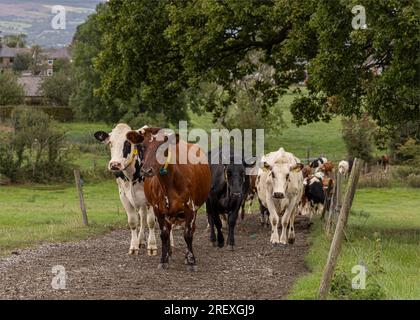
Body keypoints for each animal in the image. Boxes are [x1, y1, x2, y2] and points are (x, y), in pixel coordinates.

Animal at [93, 124, 158, 256]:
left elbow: (151, 221)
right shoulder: (124, 196)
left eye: (127, 143)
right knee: (142, 217)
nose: (115, 164)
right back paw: (140, 240)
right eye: (110, 143)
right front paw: (134, 247)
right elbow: (133, 222)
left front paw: (152, 246)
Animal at [124, 126, 210, 272]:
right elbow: (164, 234)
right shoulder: (158, 209)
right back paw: (169, 252)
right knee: (169, 229)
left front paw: (191, 260)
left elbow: (188, 234)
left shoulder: (190, 207)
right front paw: (163, 260)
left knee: (190, 229)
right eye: (142, 146)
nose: (146, 170)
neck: (168, 182)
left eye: (162, 147)